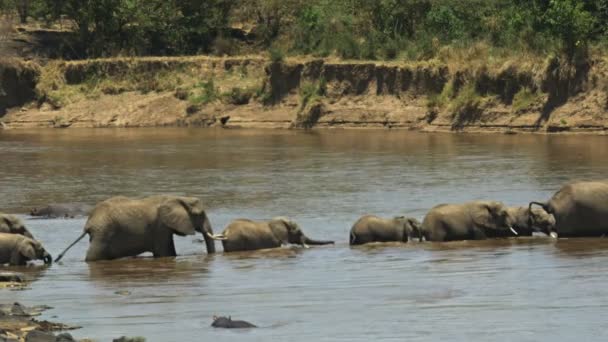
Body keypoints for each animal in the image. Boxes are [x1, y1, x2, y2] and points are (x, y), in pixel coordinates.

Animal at [54, 195, 221, 262]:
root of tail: (89, 223)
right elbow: (166, 253)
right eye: (199, 214)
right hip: (103, 233)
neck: (178, 197)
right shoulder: (160, 226)